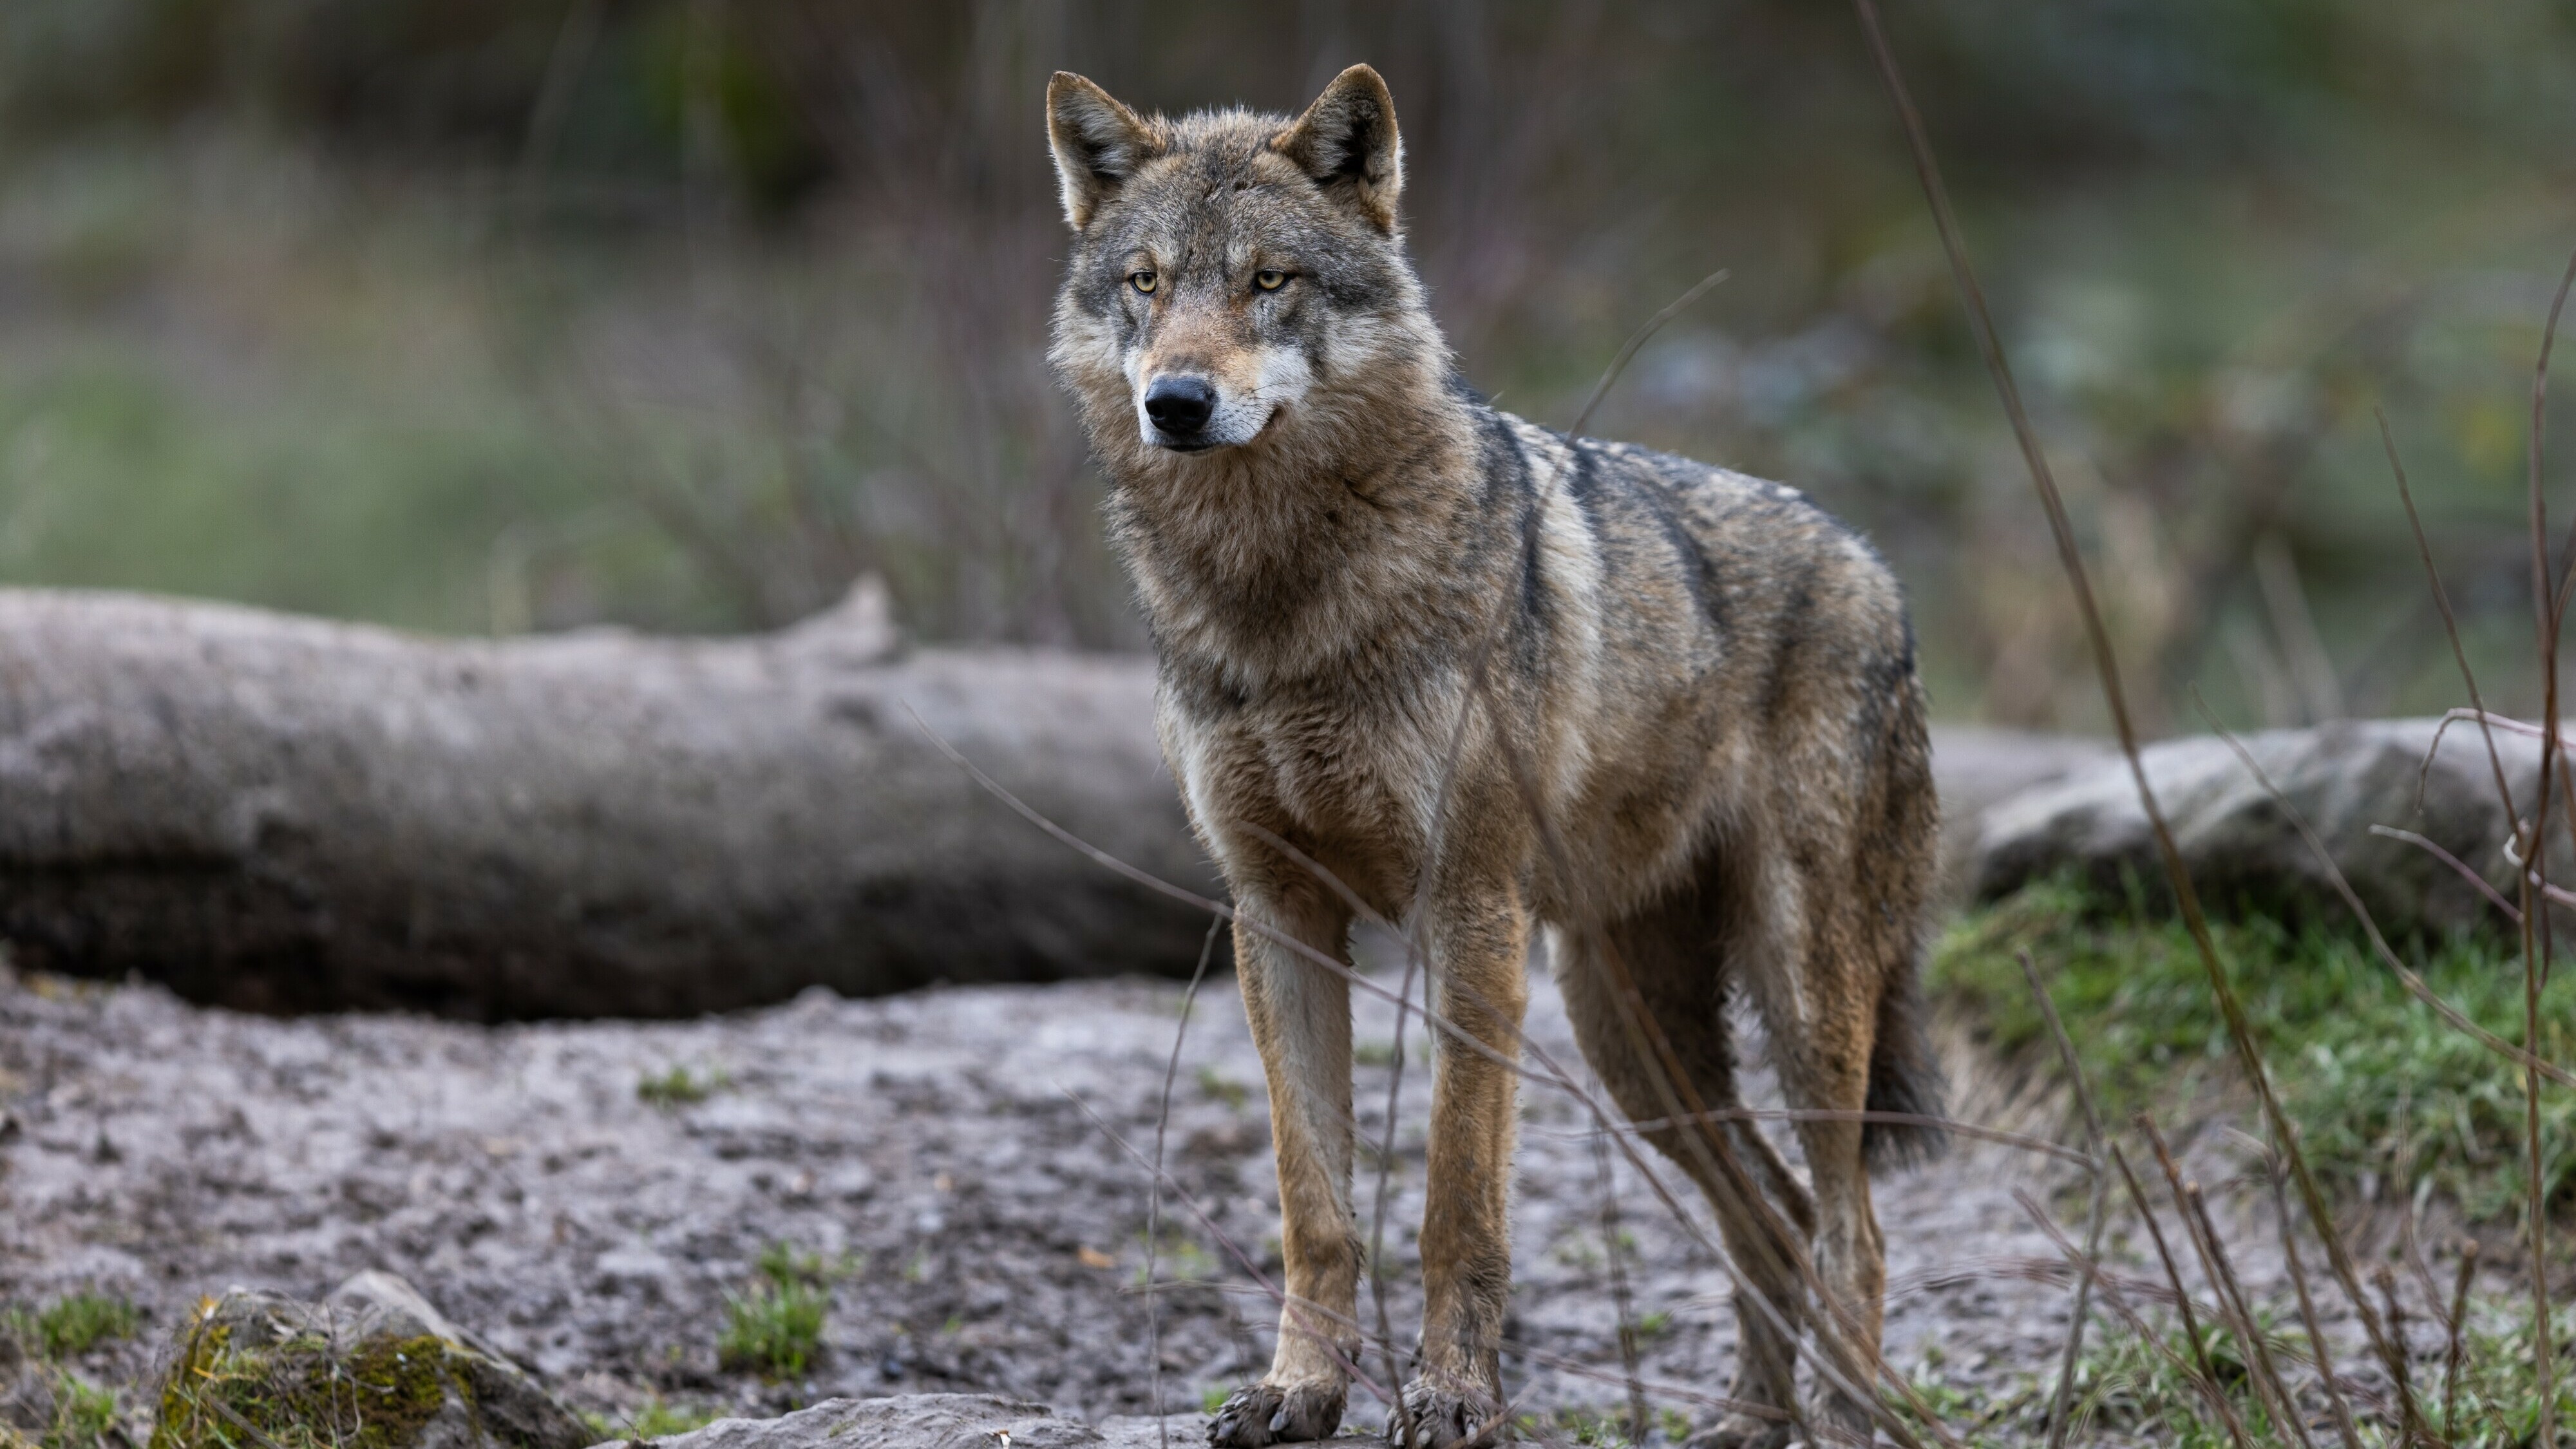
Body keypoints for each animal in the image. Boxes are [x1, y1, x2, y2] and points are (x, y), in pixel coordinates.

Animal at [1045, 64, 1943, 1449]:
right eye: (1146, 282)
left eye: (1267, 280)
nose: (1177, 403)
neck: (1282, 598)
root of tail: (1875, 569)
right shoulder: (1275, 913)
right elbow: (1316, 1206)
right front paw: (1297, 1393)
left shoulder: (1470, 913)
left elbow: (1455, 1203)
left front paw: (1458, 1397)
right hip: (1632, 1042)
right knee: (1780, 1216)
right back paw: (1751, 1420)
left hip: (1798, 1005)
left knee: (1854, 1227)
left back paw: (1840, 1420)